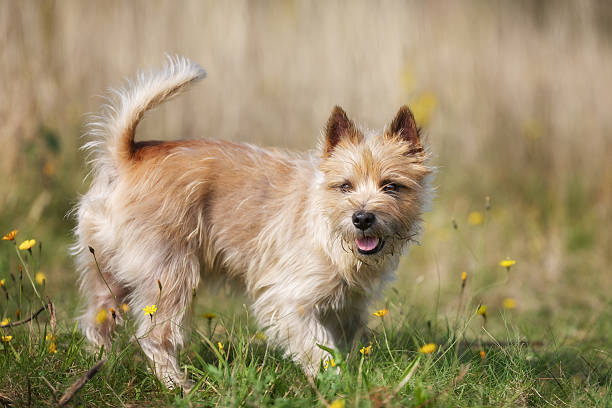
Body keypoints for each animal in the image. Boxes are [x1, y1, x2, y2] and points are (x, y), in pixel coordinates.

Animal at [73, 56, 430, 386]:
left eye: (391, 186)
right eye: (345, 186)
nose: (362, 218)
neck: (328, 230)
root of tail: (127, 156)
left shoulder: (346, 307)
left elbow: (343, 341)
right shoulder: (288, 300)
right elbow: (317, 346)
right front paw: (334, 380)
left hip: (108, 272)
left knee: (96, 319)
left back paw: (98, 366)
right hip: (170, 275)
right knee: (154, 336)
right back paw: (177, 384)